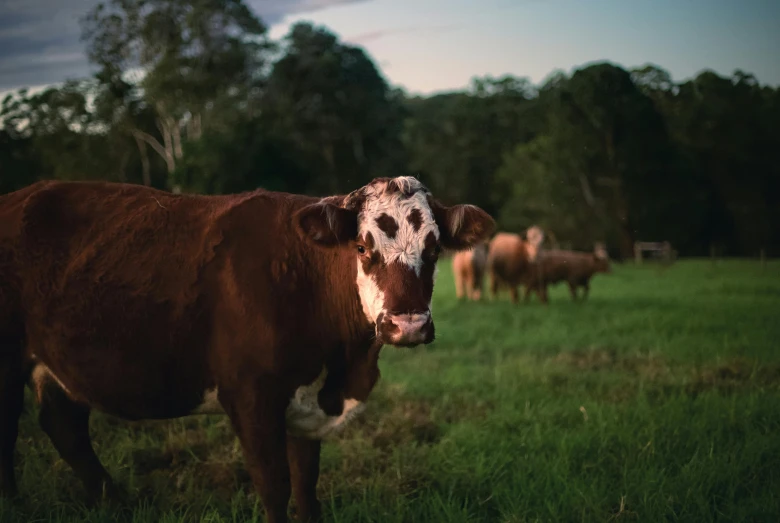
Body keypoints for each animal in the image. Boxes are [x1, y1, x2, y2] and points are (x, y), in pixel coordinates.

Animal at [0, 178, 494, 520]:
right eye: (361, 246)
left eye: (434, 249)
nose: (407, 324)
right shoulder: (251, 398)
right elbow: (275, 488)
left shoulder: (304, 404)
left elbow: (305, 488)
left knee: (65, 427)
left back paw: (115, 503)